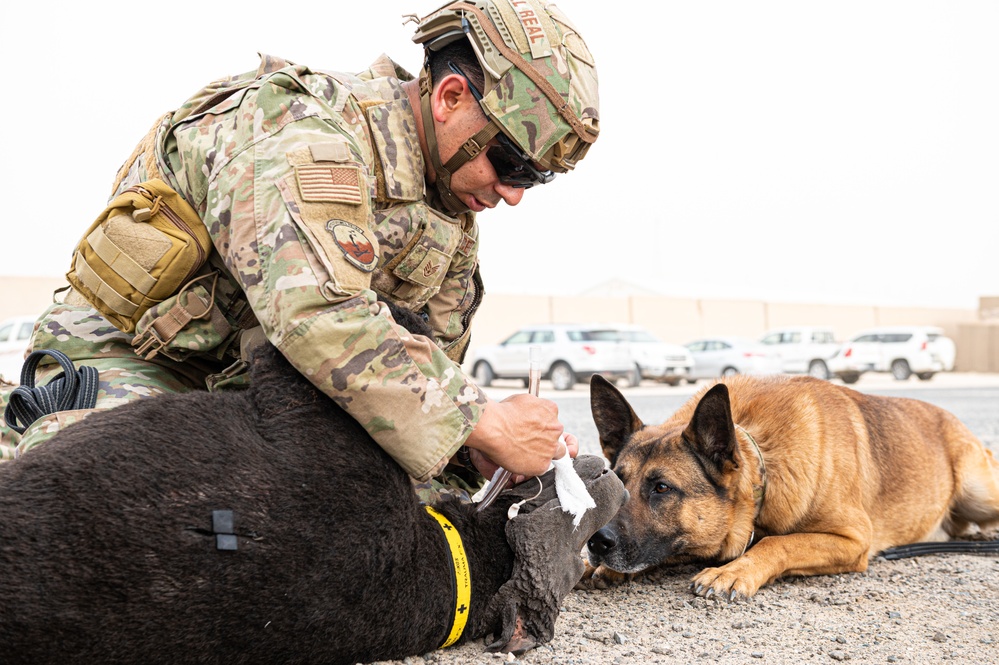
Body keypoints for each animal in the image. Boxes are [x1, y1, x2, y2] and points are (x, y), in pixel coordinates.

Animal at [584, 370, 999, 600]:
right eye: (617, 482)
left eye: (662, 488)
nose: (595, 542)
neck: (765, 470)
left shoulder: (853, 540)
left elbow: (777, 543)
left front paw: (733, 571)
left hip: (977, 491)